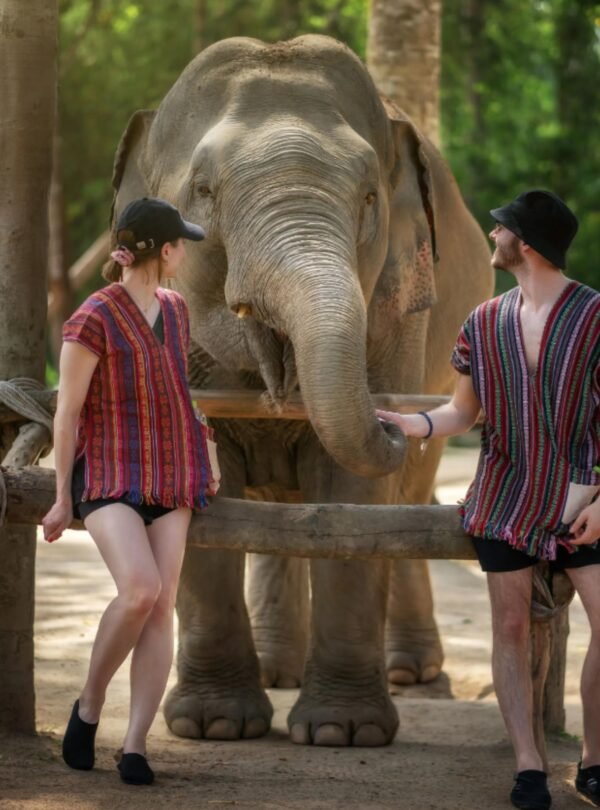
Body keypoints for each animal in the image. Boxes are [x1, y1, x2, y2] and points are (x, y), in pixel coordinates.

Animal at [110, 35, 494, 746]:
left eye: (369, 197)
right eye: (203, 191)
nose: (397, 422)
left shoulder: (396, 315)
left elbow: (354, 499)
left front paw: (345, 733)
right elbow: (201, 479)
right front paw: (213, 726)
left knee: (404, 497)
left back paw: (410, 673)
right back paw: (275, 672)